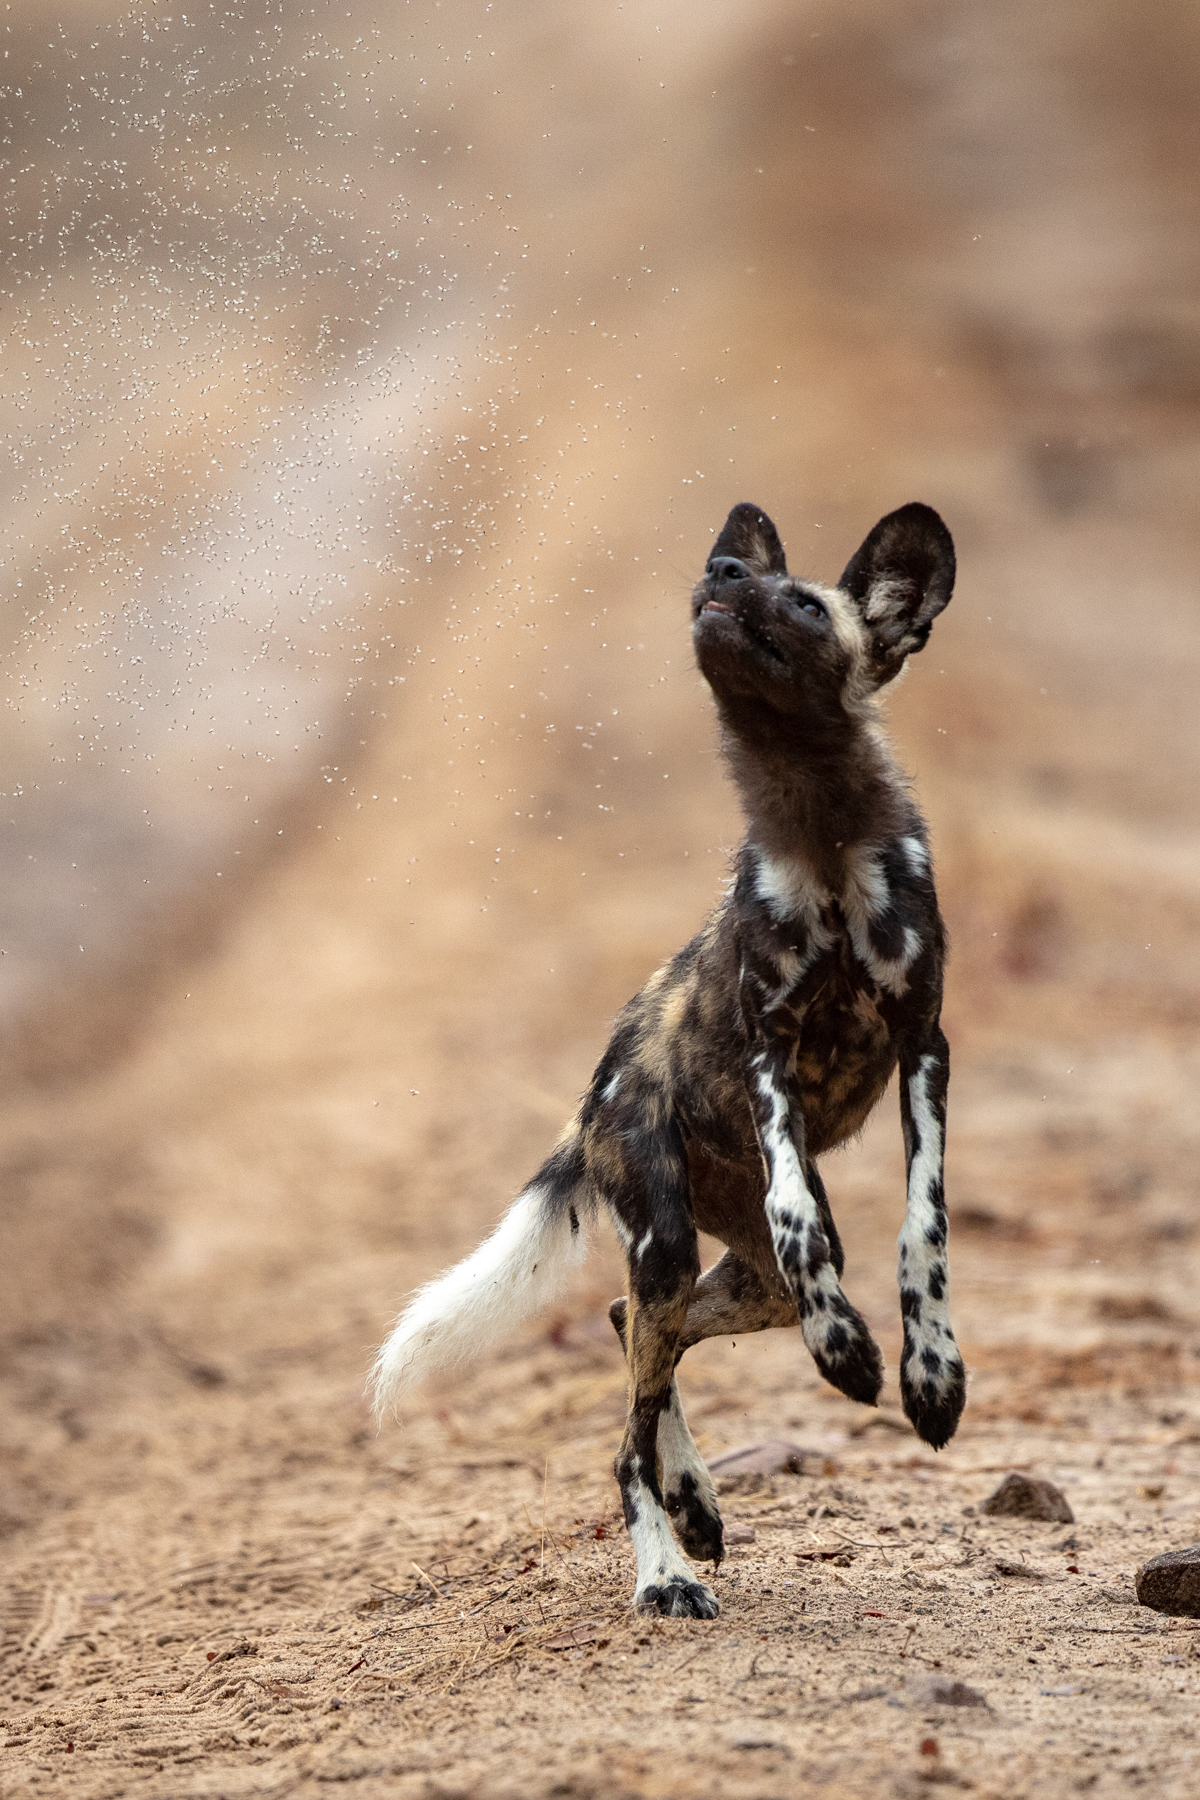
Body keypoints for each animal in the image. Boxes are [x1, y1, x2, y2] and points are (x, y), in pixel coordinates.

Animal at [376, 504, 964, 1620]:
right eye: (733, 575)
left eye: (803, 603)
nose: (723, 568)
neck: (822, 833)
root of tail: (589, 1104)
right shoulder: (771, 1051)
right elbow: (800, 1212)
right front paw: (847, 1350)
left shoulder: (925, 1048)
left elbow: (923, 1230)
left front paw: (931, 1377)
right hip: (666, 1238)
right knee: (629, 1431)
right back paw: (666, 1567)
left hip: (728, 1273)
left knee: (633, 1330)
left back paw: (694, 1504)